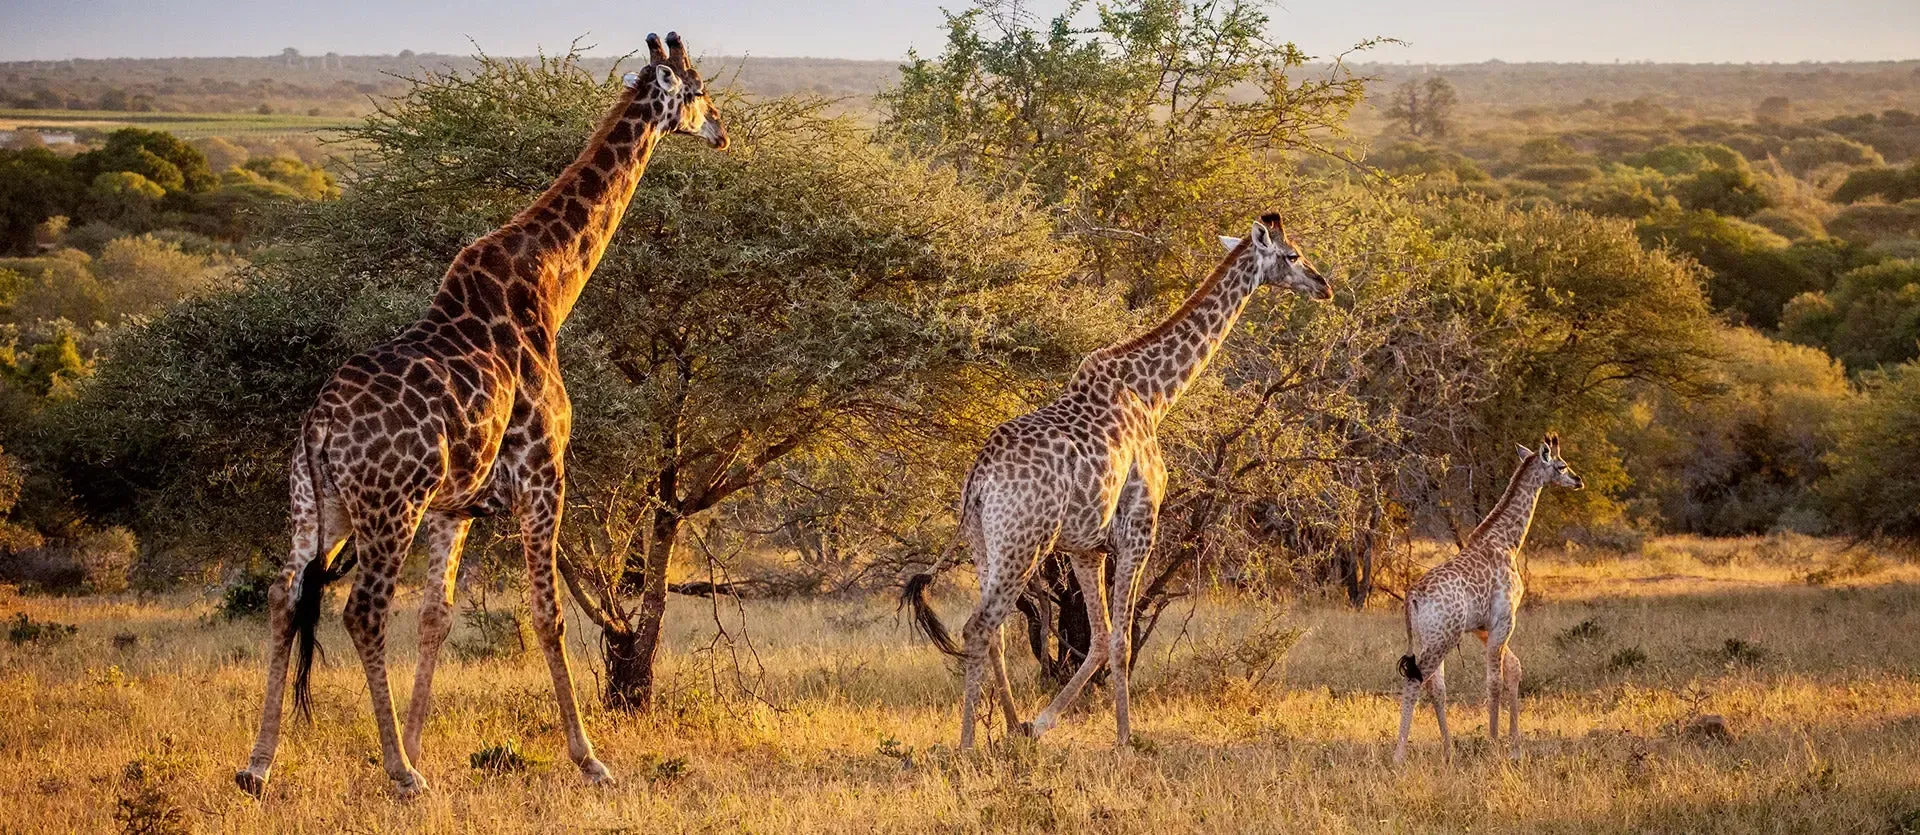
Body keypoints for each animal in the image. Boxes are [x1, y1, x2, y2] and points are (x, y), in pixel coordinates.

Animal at [232, 33, 727, 799]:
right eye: (698, 88)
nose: (722, 132)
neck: (549, 285)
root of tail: (319, 426)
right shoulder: (544, 471)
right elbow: (549, 616)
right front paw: (589, 758)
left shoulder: (455, 505)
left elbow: (437, 616)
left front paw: (415, 740)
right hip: (389, 505)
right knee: (361, 609)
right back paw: (400, 775)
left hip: (318, 504)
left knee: (285, 592)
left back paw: (259, 766)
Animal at [905, 213, 1333, 750]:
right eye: (1292, 255)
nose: (1324, 285)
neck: (1153, 393)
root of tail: (977, 480)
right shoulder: (1138, 529)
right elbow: (1121, 639)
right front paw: (1126, 739)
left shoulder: (1086, 547)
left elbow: (1098, 638)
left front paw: (1039, 725)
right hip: (1026, 542)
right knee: (979, 626)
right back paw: (967, 743)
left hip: (986, 544)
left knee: (997, 633)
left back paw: (1010, 726)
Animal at [1392, 434, 1584, 766]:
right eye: (1561, 465)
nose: (1578, 480)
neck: (1507, 542)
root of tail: (1412, 596)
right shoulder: (1504, 619)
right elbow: (1493, 681)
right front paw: (1495, 744)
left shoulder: (1483, 627)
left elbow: (1514, 668)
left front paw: (1515, 747)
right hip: (1442, 637)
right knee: (1416, 681)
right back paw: (1399, 756)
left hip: (1431, 636)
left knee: (1436, 685)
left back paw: (1449, 750)